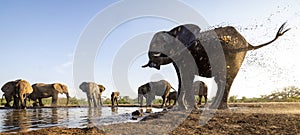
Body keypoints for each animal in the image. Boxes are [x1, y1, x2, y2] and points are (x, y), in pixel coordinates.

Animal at [142, 22, 290, 109]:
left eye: (162, 43)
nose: (152, 64)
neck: (173, 31)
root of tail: (248, 43)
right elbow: (181, 78)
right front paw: (180, 109)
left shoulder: (187, 52)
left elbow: (187, 77)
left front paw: (192, 109)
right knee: (221, 80)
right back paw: (214, 107)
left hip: (234, 56)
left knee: (226, 79)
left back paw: (220, 108)